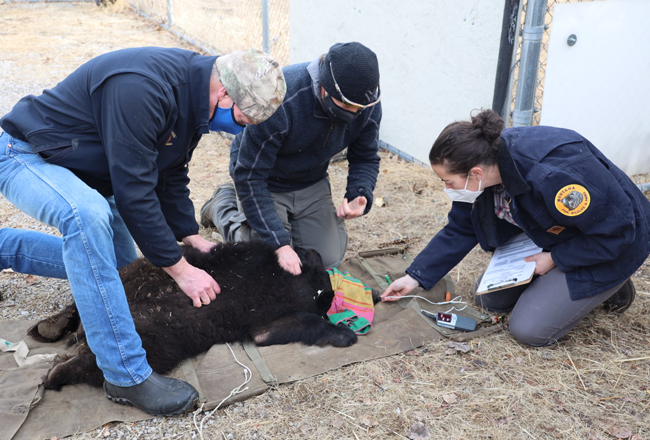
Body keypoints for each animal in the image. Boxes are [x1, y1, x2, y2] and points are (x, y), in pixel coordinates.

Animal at [29, 242, 354, 390]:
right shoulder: (270, 318)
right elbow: (307, 322)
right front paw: (344, 333)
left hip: (128, 275)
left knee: (86, 299)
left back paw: (50, 329)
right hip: (158, 338)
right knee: (106, 363)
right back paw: (57, 372)